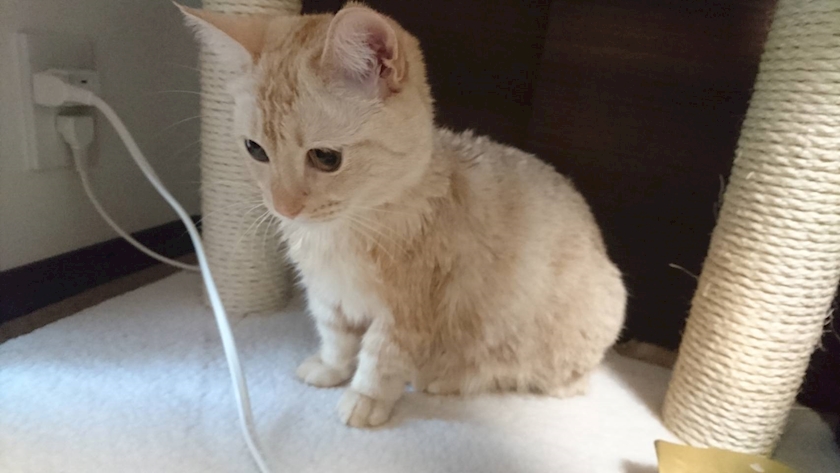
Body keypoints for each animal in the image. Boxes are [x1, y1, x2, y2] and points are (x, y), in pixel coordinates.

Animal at [179, 2, 627, 428]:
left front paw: (366, 398)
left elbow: (381, 357)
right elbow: (335, 335)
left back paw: (447, 377)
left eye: (326, 158)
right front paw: (330, 367)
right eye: (255, 150)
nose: (283, 206)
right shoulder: (326, 294)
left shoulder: (408, 313)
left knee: (544, 378)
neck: (343, 234)